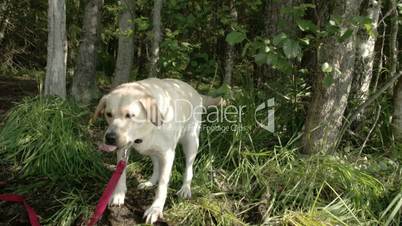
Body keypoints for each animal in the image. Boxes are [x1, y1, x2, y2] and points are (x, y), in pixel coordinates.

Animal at [94, 78, 221, 224]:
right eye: (108, 114)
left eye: (130, 115)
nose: (110, 138)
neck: (146, 130)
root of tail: (195, 91)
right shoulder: (123, 150)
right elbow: (121, 174)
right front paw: (118, 194)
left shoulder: (168, 154)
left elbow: (163, 184)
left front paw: (155, 209)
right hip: (153, 150)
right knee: (156, 165)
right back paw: (150, 182)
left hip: (191, 141)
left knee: (188, 168)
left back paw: (185, 188)